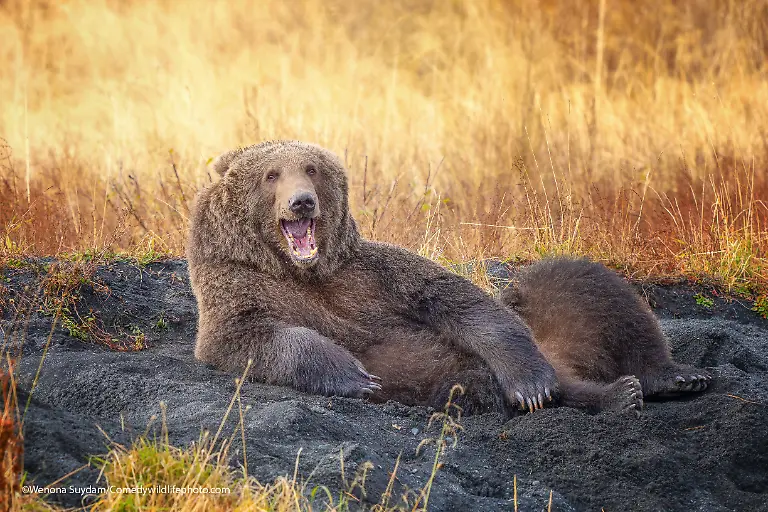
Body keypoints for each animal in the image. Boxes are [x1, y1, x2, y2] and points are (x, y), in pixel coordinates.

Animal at [187, 140, 557, 415]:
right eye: (271, 174)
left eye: (311, 169)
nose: (302, 201)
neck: (301, 269)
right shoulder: (239, 283)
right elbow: (242, 336)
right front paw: (357, 375)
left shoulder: (373, 275)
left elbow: (460, 301)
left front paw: (532, 385)